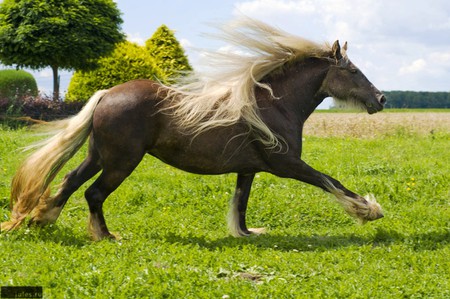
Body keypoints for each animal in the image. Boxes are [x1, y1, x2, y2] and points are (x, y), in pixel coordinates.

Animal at [0, 18, 386, 241]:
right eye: (353, 71)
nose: (381, 99)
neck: (273, 105)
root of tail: (107, 94)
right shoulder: (287, 165)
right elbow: (330, 182)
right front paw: (370, 210)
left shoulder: (249, 168)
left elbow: (241, 203)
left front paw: (246, 233)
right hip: (122, 161)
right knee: (93, 194)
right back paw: (106, 236)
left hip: (99, 156)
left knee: (69, 182)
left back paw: (42, 219)